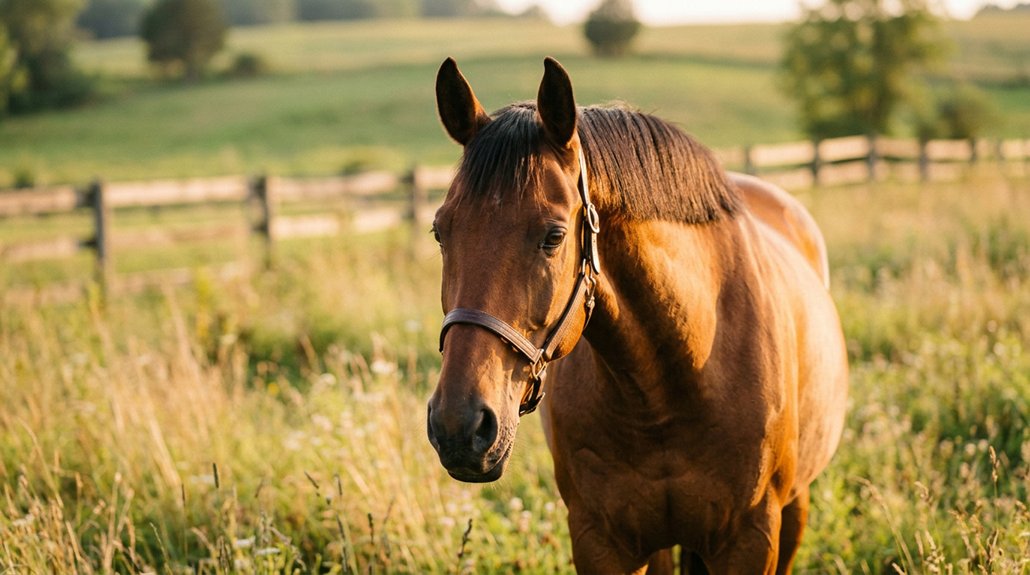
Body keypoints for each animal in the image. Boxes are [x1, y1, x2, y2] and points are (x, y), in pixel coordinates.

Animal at [426, 57, 849, 574]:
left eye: (553, 235)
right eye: (440, 231)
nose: (459, 426)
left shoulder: (752, 539)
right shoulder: (599, 541)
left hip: (795, 509)